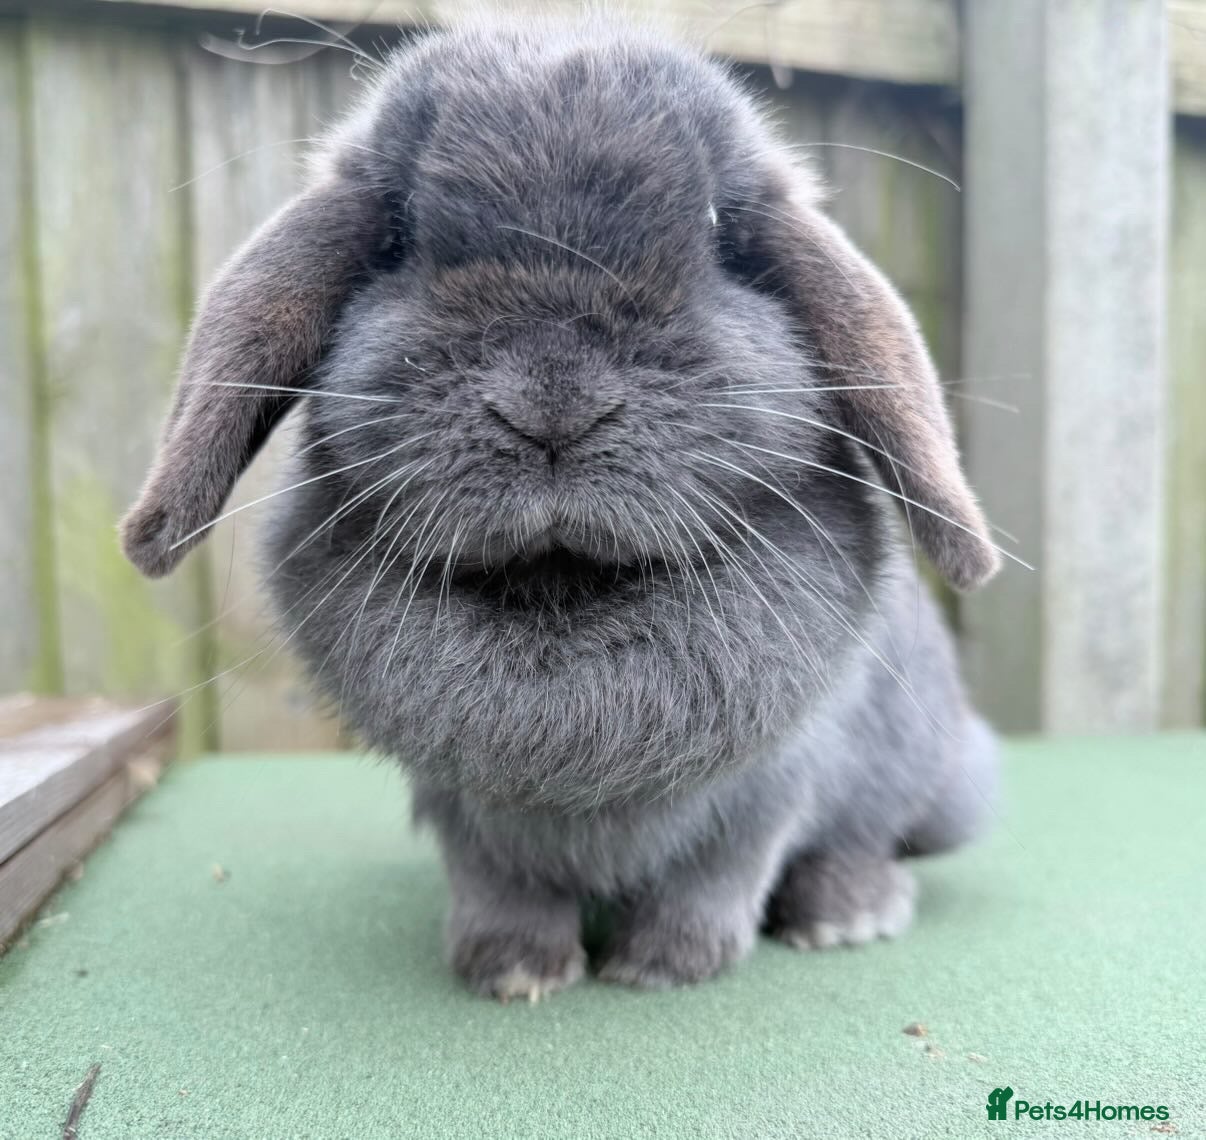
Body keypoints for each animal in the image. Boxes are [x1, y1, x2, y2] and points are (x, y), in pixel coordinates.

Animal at [120, 17, 1001, 999]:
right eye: (397, 235)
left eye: (718, 232)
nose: (553, 406)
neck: (562, 606)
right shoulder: (465, 816)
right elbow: (500, 889)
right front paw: (510, 972)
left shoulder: (767, 794)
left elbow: (715, 878)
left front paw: (664, 968)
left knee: (864, 840)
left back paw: (849, 913)